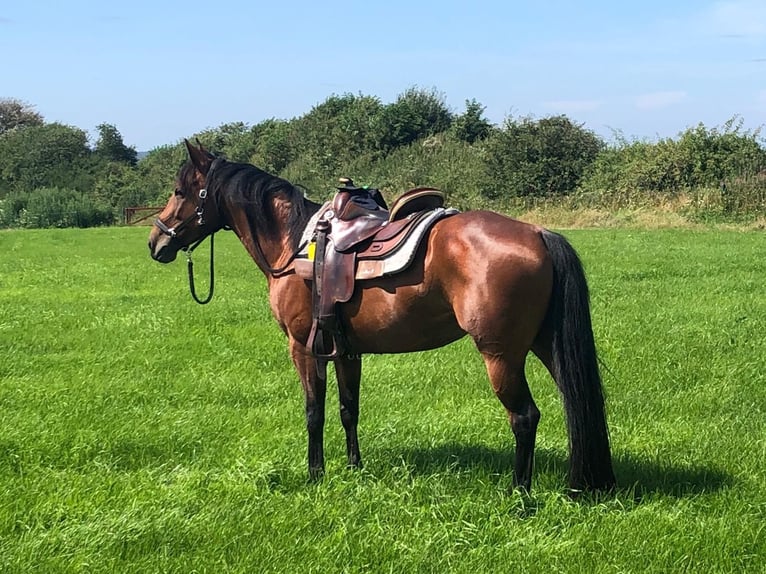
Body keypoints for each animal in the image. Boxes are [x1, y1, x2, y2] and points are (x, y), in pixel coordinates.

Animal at [148, 140, 616, 496]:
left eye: (178, 190)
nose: (156, 243)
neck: (293, 244)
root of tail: (537, 232)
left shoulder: (303, 348)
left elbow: (313, 411)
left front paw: (315, 474)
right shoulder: (345, 351)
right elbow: (348, 408)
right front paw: (353, 467)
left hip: (500, 355)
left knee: (524, 417)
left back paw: (519, 494)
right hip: (545, 345)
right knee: (575, 404)